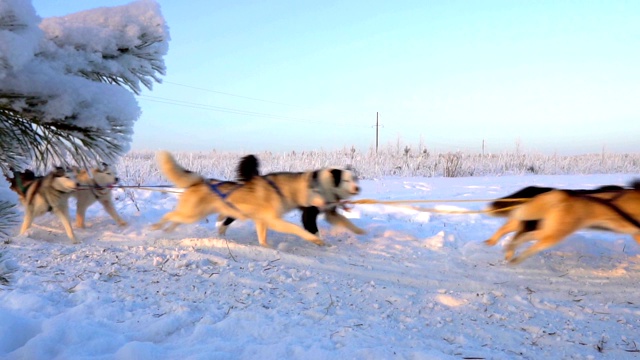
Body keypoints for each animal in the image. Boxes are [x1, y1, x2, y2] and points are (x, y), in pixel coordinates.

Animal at [152, 151, 328, 248]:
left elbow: (262, 239)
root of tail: (201, 181)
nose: (326, 203)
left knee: (175, 219)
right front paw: (315, 239)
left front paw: (266, 246)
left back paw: (167, 230)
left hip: (192, 215)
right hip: (192, 214)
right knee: (169, 215)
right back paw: (155, 226)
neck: (280, 189)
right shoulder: (274, 221)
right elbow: (297, 229)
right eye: (317, 190)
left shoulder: (262, 221)